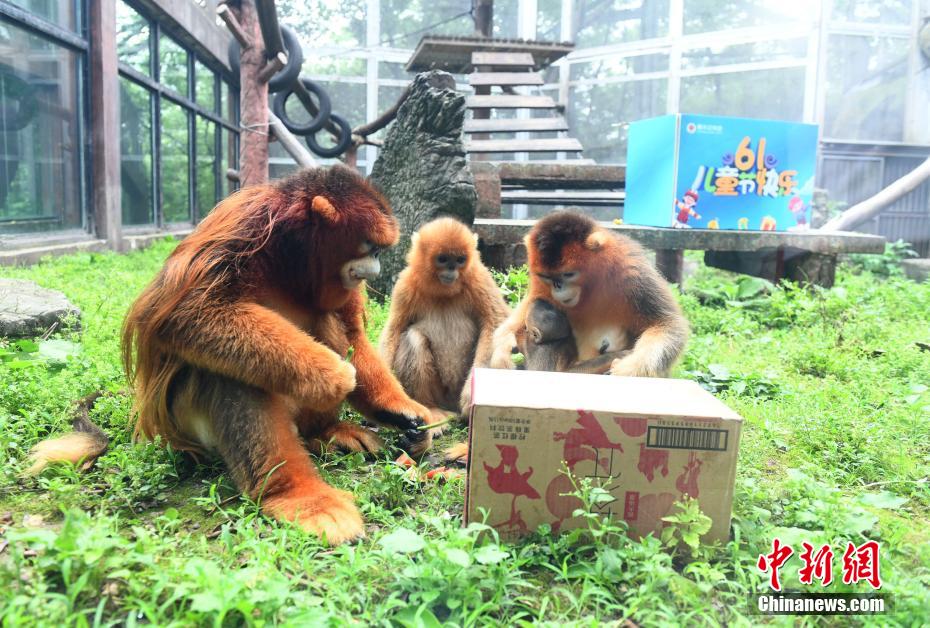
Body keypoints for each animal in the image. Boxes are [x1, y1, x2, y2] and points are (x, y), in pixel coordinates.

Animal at [29, 167, 434, 544]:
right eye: (371, 249)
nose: (377, 270)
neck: (291, 259)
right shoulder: (244, 225)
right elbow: (182, 314)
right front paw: (328, 374)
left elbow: (352, 333)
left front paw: (402, 413)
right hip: (188, 424)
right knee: (232, 373)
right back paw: (296, 494)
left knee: (324, 324)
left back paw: (324, 432)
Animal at [490, 211, 684, 378]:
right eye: (546, 277)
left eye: (568, 275)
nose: (558, 287)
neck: (590, 287)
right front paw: (503, 351)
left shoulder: (631, 269)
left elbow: (668, 324)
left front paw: (629, 369)